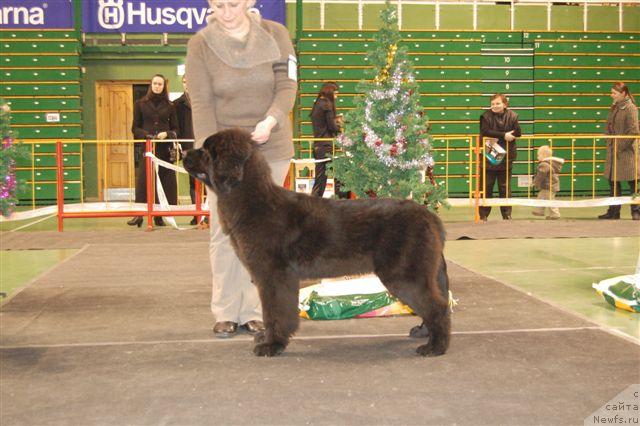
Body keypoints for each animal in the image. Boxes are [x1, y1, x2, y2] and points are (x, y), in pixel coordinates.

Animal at [182, 129, 448, 356]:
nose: (184, 154)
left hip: (404, 274)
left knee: (437, 306)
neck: (253, 201)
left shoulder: (274, 275)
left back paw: (435, 346)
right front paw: (268, 339)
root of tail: (430, 216)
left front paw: (272, 344)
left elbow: (275, 312)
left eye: (205, 152)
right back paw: (423, 332)